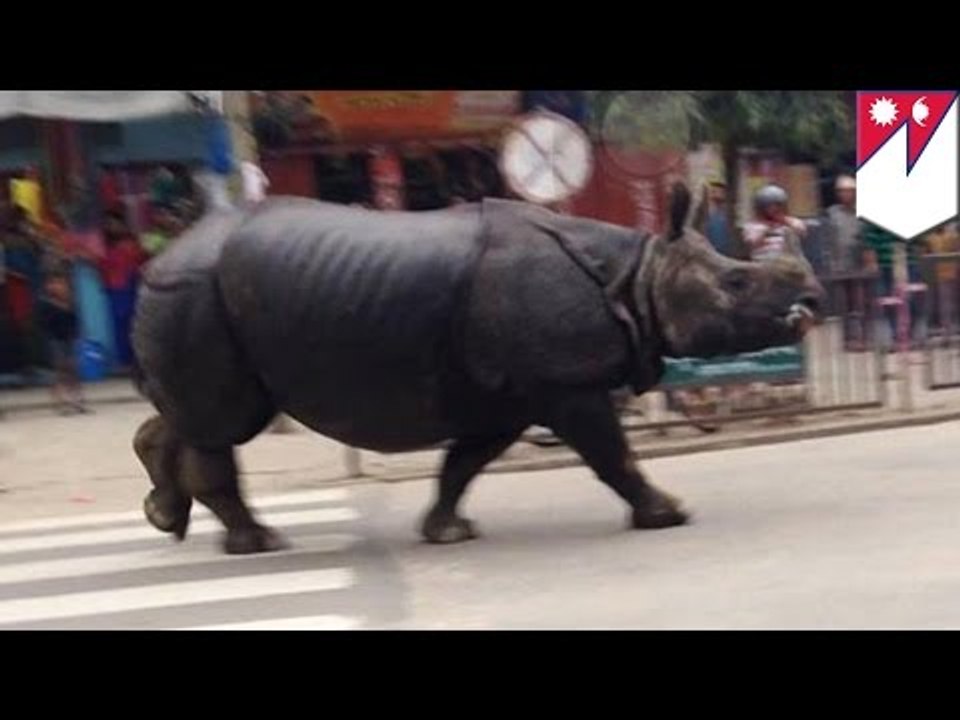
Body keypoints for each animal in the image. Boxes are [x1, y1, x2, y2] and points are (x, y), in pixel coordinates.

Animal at [131, 184, 823, 554]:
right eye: (736, 283)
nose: (813, 301)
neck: (639, 274)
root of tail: (160, 257)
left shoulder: (513, 395)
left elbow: (463, 463)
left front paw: (447, 532)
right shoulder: (564, 382)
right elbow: (612, 454)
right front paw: (668, 514)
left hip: (204, 295)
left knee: (193, 418)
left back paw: (166, 518)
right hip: (195, 292)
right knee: (223, 424)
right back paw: (260, 542)